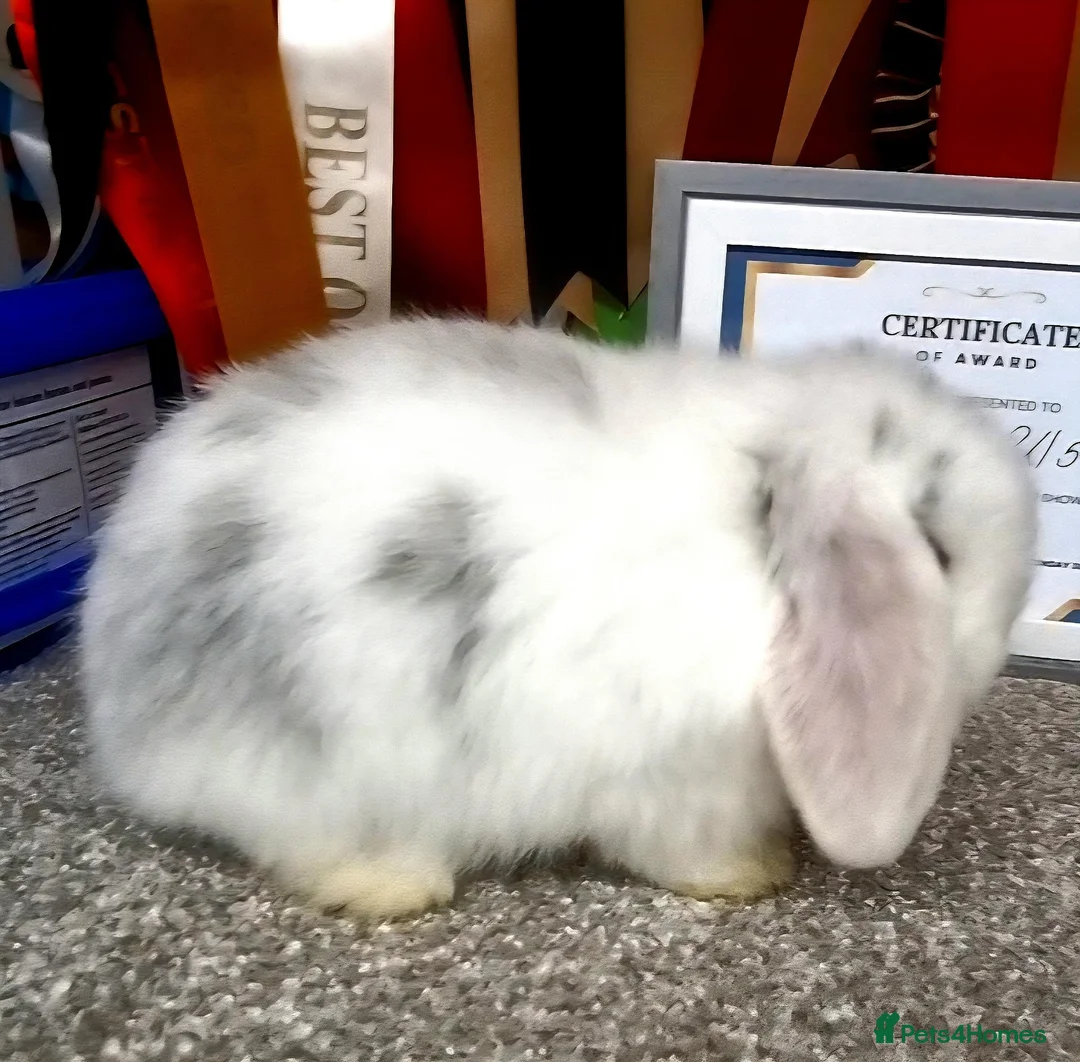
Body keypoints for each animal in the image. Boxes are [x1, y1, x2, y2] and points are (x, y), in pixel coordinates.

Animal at [78, 315, 1037, 920]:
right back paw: (394, 885)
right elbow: (685, 849)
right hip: (319, 762)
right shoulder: (675, 783)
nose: (1004, 631)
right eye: (939, 556)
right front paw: (752, 876)